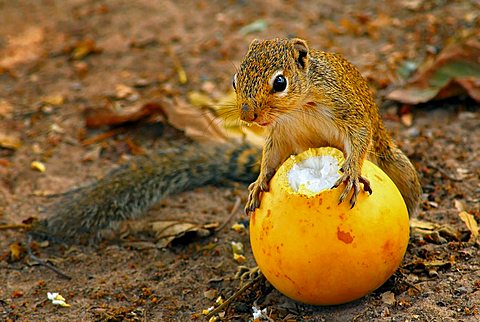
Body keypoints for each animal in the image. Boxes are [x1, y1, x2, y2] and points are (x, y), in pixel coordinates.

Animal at [31, 37, 420, 242]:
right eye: (235, 80)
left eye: (280, 82)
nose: (248, 115)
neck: (298, 108)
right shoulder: (280, 136)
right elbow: (270, 157)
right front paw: (259, 181)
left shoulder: (345, 107)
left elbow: (359, 136)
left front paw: (351, 171)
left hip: (397, 165)